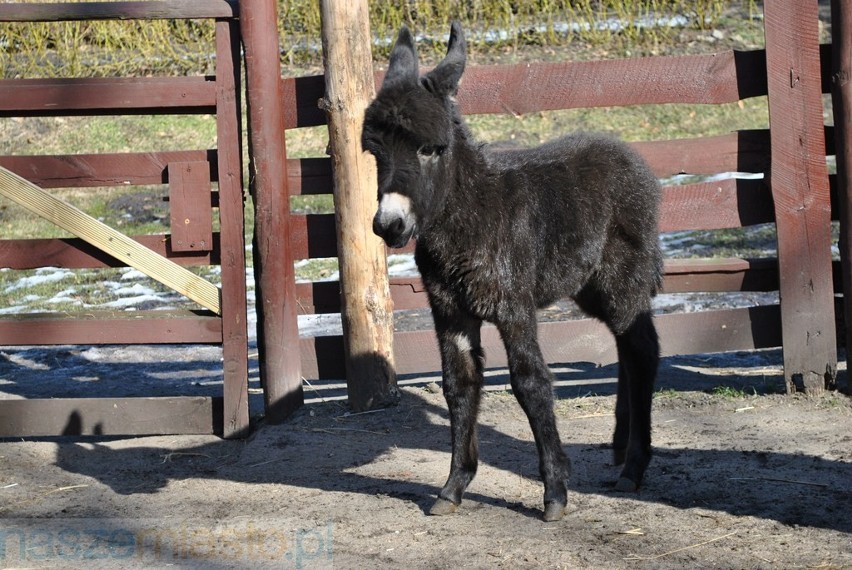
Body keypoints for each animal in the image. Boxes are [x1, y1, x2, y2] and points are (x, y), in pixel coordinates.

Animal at [362, 22, 664, 520]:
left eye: (431, 149)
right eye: (374, 152)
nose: (390, 225)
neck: (471, 218)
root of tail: (625, 150)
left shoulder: (513, 305)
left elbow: (530, 382)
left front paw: (555, 491)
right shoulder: (449, 310)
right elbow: (459, 384)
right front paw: (453, 486)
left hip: (622, 278)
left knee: (643, 351)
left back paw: (635, 467)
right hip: (590, 287)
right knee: (628, 347)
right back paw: (622, 450)